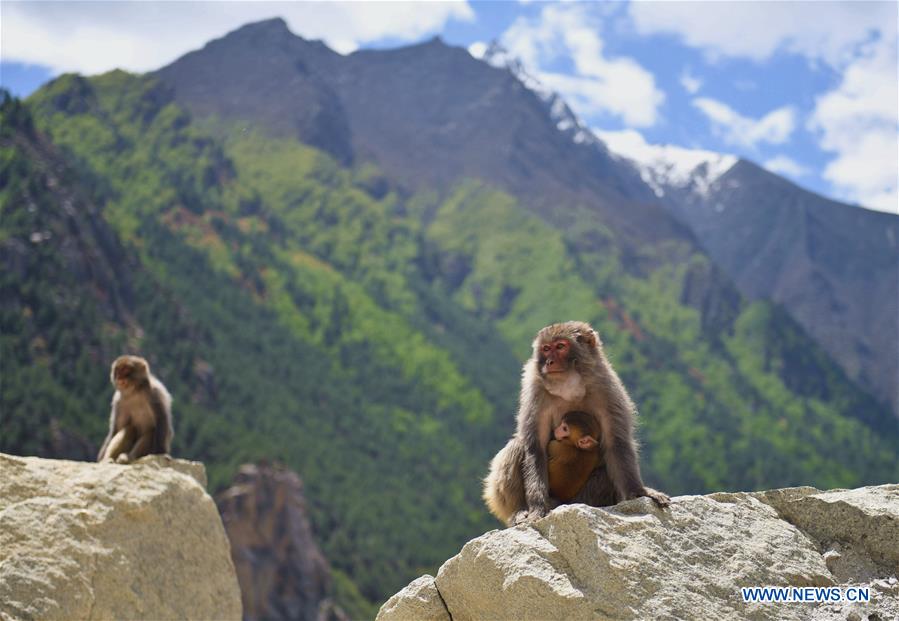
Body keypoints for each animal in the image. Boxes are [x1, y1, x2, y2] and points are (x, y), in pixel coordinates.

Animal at [483, 321, 669, 526]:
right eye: (546, 349)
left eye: (560, 347)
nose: (549, 362)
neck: (569, 386)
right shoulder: (534, 390)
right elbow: (534, 446)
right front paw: (537, 508)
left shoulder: (607, 389)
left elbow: (616, 443)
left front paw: (639, 492)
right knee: (517, 446)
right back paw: (520, 510)